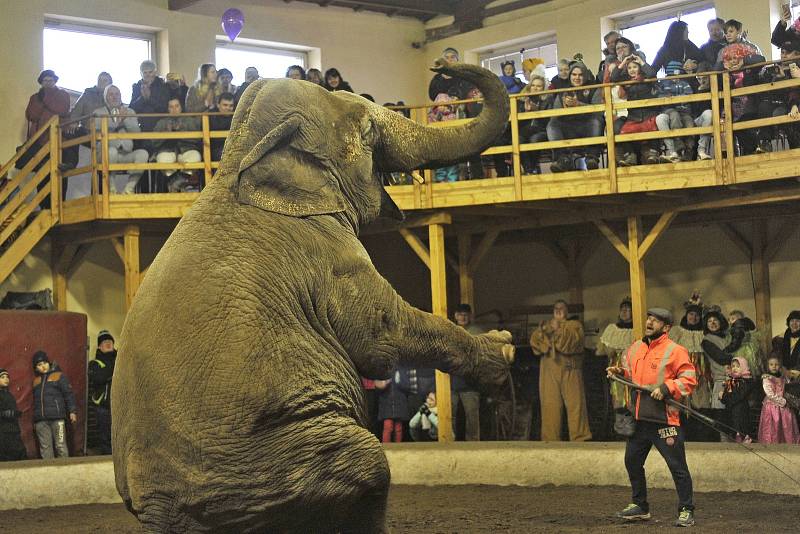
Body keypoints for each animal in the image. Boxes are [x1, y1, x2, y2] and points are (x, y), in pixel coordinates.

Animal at [112, 59, 512, 534]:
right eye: (367, 132)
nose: (442, 64)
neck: (238, 160)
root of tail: (159, 512)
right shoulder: (330, 257)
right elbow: (382, 337)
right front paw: (503, 351)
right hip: (273, 466)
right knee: (369, 467)